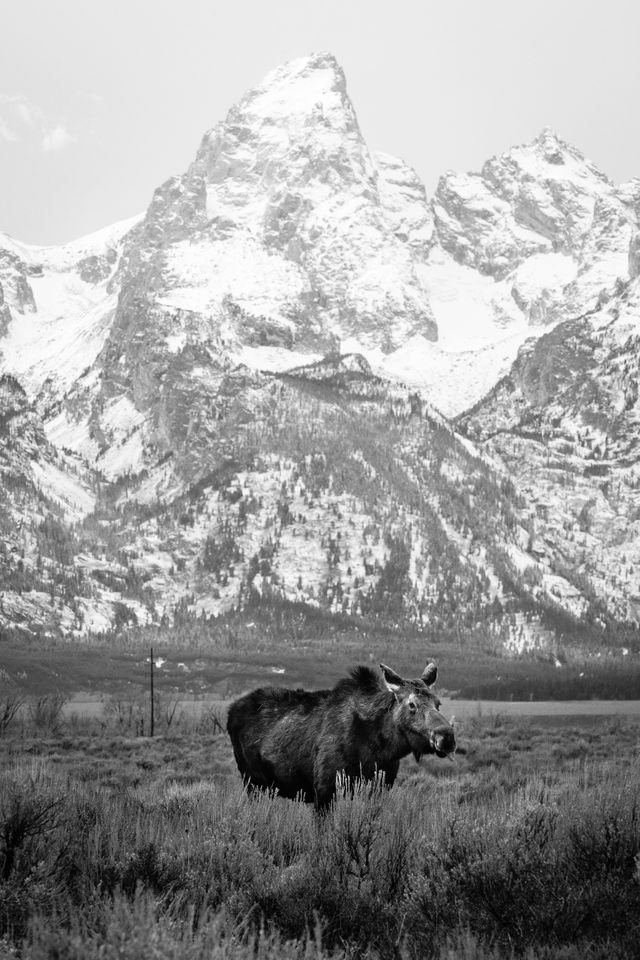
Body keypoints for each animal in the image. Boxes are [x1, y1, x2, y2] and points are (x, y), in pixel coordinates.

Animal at [225, 656, 456, 808]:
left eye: (438, 703)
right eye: (411, 704)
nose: (446, 736)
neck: (381, 749)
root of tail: (231, 711)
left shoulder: (379, 788)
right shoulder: (325, 789)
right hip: (253, 782)